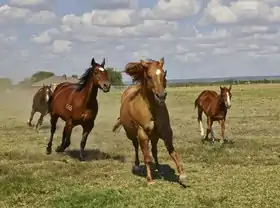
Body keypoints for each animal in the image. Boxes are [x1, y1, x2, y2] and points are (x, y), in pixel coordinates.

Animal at [111, 57, 186, 185]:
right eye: (149, 76)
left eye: (164, 74)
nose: (161, 96)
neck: (151, 110)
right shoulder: (142, 133)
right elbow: (146, 157)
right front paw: (150, 180)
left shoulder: (166, 131)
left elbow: (172, 151)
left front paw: (182, 174)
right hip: (132, 134)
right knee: (136, 146)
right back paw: (137, 165)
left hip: (154, 136)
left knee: (154, 151)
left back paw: (159, 169)